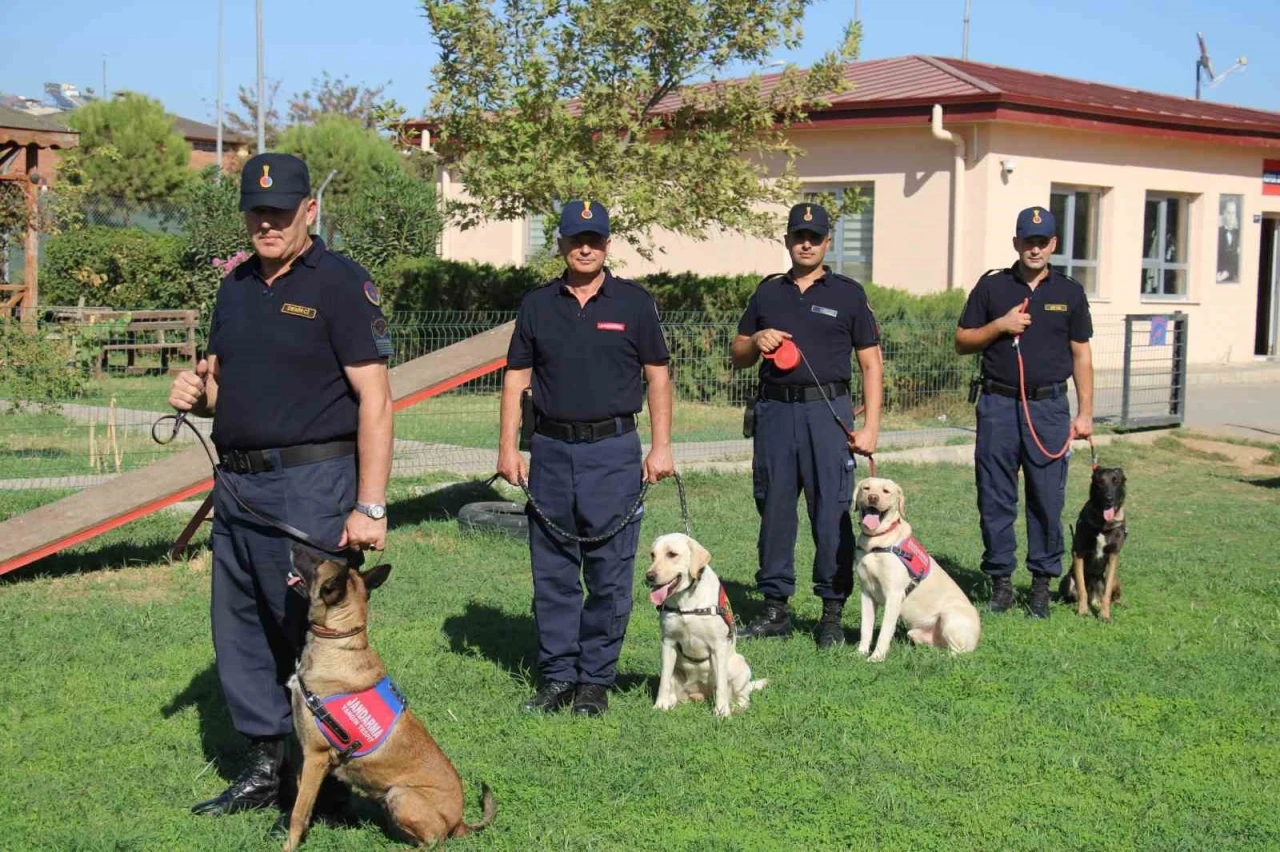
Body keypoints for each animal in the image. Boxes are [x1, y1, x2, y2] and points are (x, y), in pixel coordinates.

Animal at [284, 544, 494, 849]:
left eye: (319, 562)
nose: (293, 544)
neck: (338, 642)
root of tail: (458, 822)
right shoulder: (308, 760)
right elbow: (301, 801)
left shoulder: (316, 756)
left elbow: (298, 814)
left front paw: (288, 845)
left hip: (400, 794)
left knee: (434, 842)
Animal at [645, 534, 762, 711]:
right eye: (653, 555)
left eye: (672, 554)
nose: (649, 576)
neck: (686, 600)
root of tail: (701, 694)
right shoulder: (668, 642)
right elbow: (664, 679)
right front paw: (660, 705)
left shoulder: (718, 645)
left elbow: (721, 685)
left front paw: (722, 711)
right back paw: (671, 702)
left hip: (740, 664)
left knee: (743, 696)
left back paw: (736, 707)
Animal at [860, 473, 977, 660]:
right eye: (866, 488)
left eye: (886, 491)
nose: (872, 498)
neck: (877, 542)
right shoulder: (866, 593)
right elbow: (866, 628)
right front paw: (859, 653)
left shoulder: (894, 595)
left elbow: (885, 631)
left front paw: (876, 658)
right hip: (916, 633)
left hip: (949, 615)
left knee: (958, 652)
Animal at [1059, 465, 1131, 616]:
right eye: (1100, 482)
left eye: (1116, 481)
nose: (1109, 498)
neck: (1103, 523)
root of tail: (1094, 599)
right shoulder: (1078, 553)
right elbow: (1082, 589)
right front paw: (1083, 611)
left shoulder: (1113, 555)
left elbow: (1107, 593)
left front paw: (1105, 615)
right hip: (1067, 579)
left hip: (1115, 578)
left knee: (1112, 597)